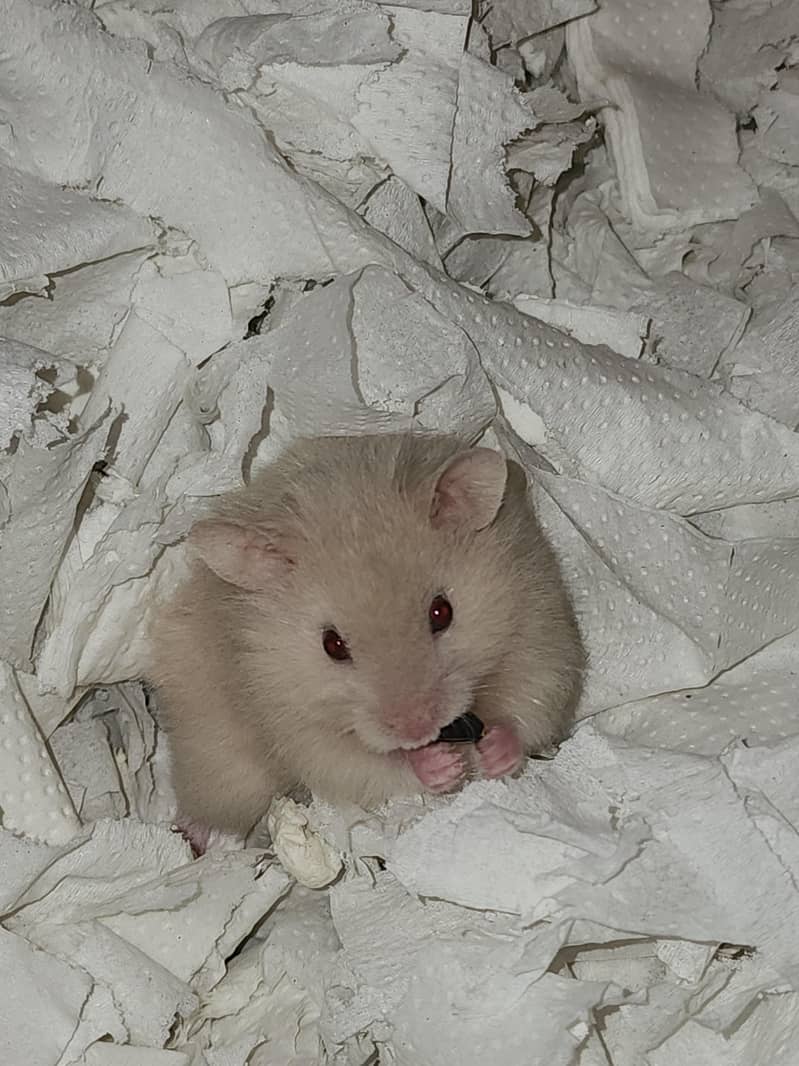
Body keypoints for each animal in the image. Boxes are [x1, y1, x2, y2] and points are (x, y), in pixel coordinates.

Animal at [148, 432, 584, 844]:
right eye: (333, 645)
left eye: (442, 612)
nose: (418, 730)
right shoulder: (292, 719)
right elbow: (363, 764)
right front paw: (444, 765)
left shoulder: (536, 624)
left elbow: (529, 703)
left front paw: (493, 752)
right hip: (216, 748)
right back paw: (190, 835)